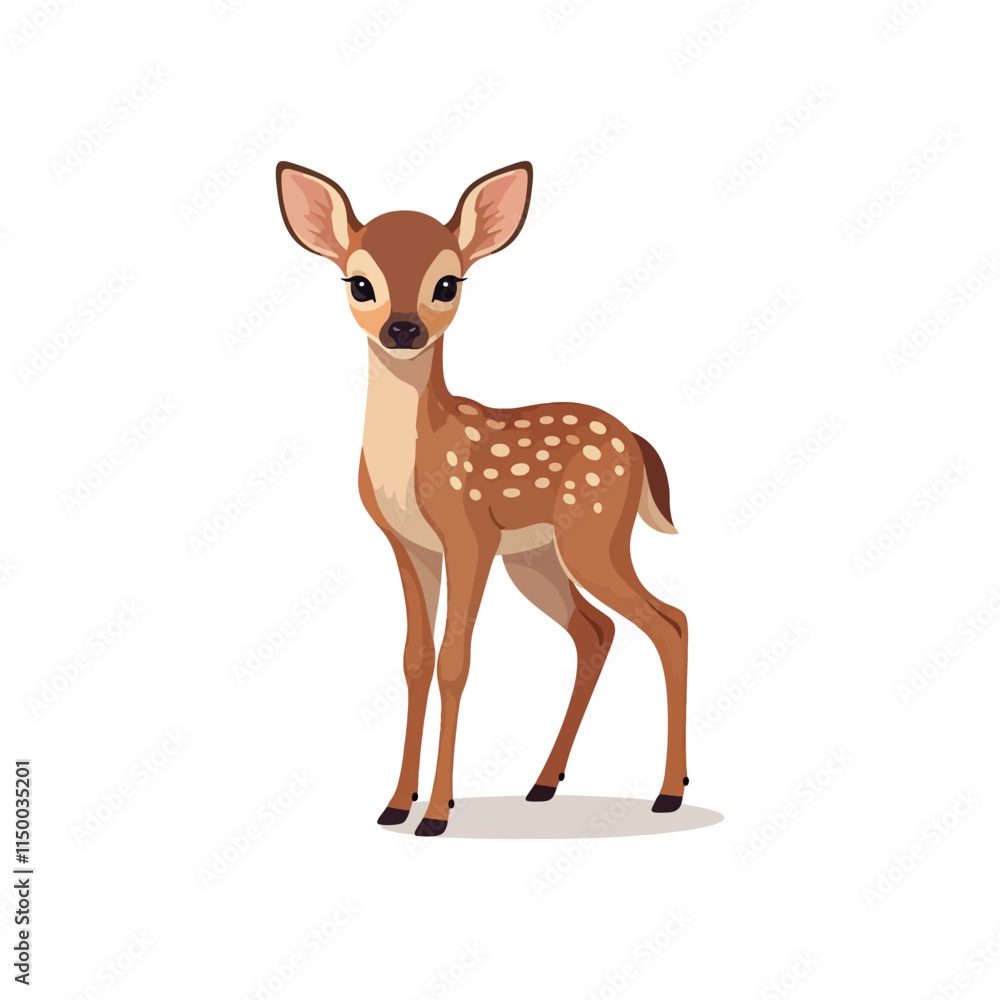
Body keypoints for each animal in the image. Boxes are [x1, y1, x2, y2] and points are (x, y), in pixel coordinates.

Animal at [275, 160, 688, 836]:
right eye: (359, 282)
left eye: (448, 282)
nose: (404, 328)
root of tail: (635, 441)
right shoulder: (410, 545)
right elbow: (415, 659)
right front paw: (396, 803)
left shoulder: (470, 534)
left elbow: (455, 660)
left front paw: (437, 814)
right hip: (536, 558)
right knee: (596, 630)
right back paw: (543, 784)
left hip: (593, 531)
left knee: (668, 622)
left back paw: (669, 793)